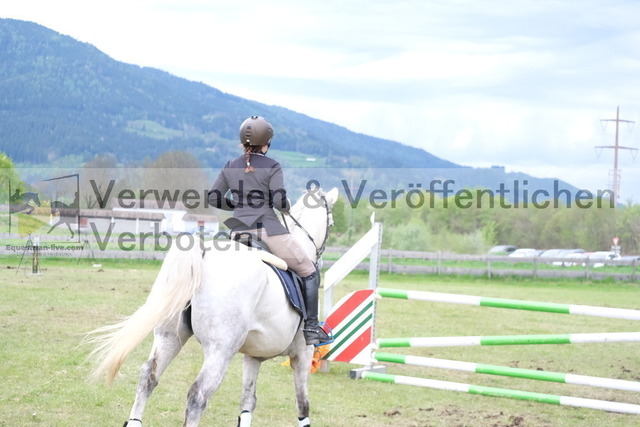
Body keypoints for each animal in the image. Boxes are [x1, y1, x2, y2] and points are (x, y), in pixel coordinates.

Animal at [87, 187, 338, 427]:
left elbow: (247, 403)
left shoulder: (253, 356)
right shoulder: (302, 353)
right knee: (198, 395)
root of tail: (204, 253)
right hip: (220, 350)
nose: (320, 259)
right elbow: (302, 404)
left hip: (170, 337)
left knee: (148, 376)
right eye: (331, 223)